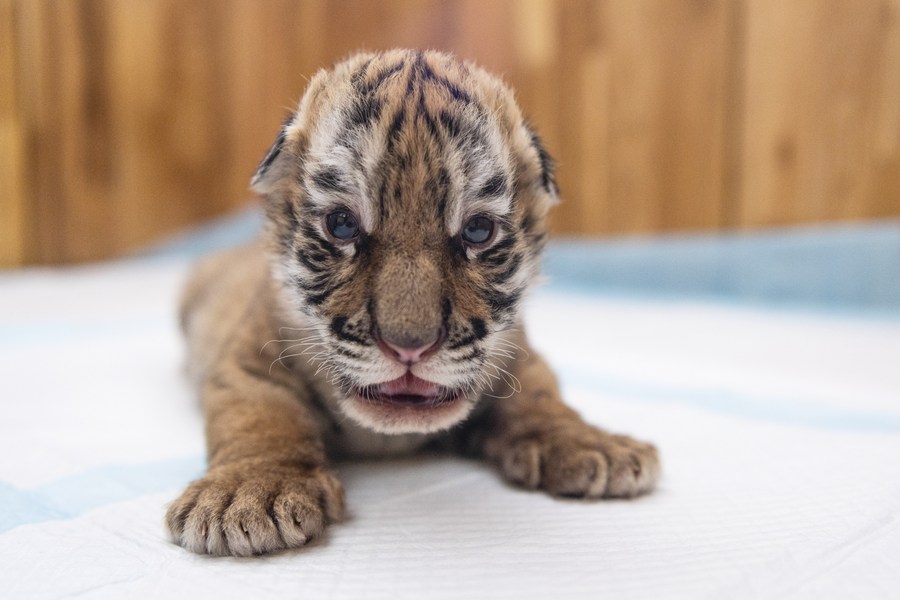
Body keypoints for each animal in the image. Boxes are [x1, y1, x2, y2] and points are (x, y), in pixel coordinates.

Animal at [167, 49, 660, 556]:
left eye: (478, 231)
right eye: (341, 225)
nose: (409, 347)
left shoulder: (517, 354)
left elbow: (542, 397)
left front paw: (594, 446)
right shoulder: (247, 359)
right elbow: (260, 416)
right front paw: (247, 493)